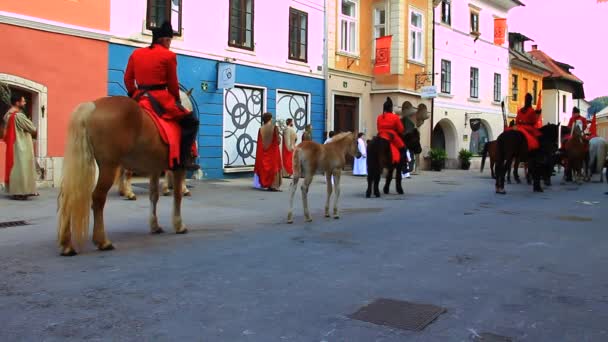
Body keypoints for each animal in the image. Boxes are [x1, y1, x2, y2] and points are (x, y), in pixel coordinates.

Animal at [57, 89, 195, 255]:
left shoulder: (154, 169)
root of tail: (92, 106)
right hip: (108, 167)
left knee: (69, 196)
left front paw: (155, 225)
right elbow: (177, 196)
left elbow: (154, 196)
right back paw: (103, 241)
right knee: (98, 198)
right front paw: (179, 224)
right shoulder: (178, 168)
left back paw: (67, 244)